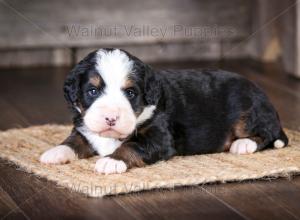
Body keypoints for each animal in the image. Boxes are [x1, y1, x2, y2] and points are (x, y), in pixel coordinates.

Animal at [39, 47, 288, 174]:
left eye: (130, 93)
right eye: (92, 90)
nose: (111, 118)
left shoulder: (159, 138)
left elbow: (132, 145)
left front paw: (112, 161)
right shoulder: (85, 126)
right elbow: (75, 140)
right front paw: (56, 152)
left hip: (248, 112)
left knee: (268, 135)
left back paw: (243, 144)